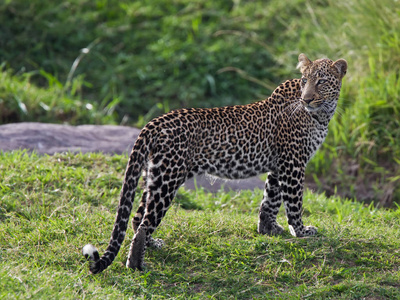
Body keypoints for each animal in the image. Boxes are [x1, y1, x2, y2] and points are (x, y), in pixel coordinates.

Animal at [82, 52, 346, 274]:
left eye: (321, 81)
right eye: (305, 80)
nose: (307, 99)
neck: (322, 113)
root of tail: (154, 122)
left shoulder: (278, 166)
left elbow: (270, 200)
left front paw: (268, 230)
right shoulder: (293, 164)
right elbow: (294, 202)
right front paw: (301, 231)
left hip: (154, 176)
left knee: (138, 218)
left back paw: (153, 245)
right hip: (167, 180)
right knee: (145, 223)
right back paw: (137, 265)